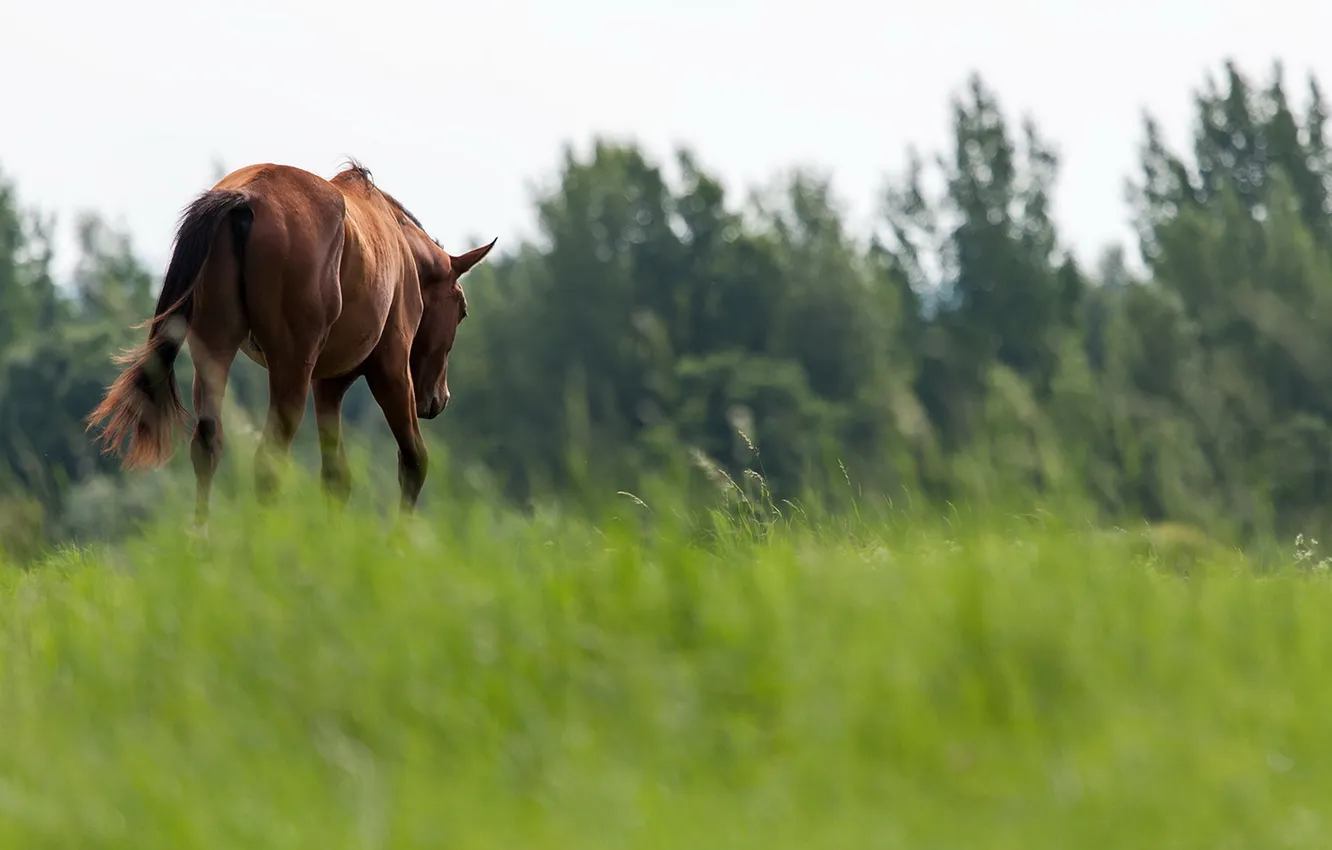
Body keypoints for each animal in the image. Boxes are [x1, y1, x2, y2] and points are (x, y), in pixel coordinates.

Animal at [85, 156, 498, 522]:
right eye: (462, 310)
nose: (439, 399)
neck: (399, 246)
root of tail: (247, 198)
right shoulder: (391, 371)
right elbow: (413, 460)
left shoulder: (328, 385)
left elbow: (336, 477)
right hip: (291, 370)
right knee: (268, 461)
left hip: (216, 350)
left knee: (207, 443)